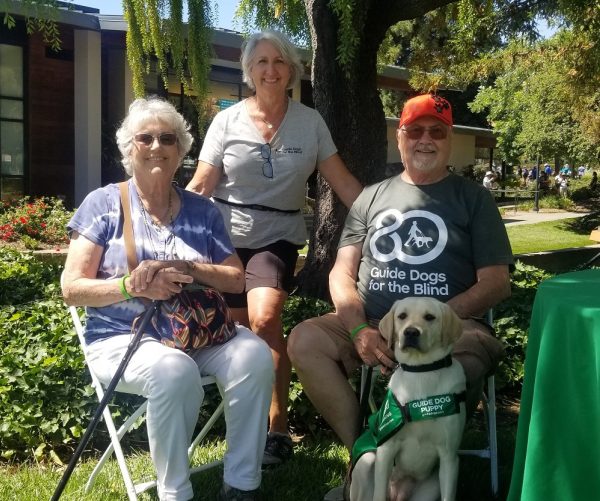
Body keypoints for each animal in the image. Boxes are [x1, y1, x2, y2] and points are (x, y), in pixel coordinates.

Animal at [352, 296, 464, 500]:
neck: (421, 372)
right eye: (402, 316)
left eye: (430, 317)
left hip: (432, 485)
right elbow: (379, 493)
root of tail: (398, 495)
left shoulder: (449, 457)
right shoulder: (386, 449)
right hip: (367, 461)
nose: (411, 332)